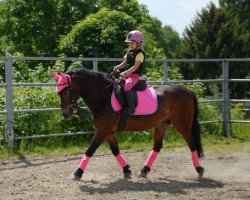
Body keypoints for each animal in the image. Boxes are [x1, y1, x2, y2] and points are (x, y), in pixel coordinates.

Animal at [51, 68, 204, 180]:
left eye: (65, 91)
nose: (65, 113)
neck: (103, 97)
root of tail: (187, 90)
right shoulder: (108, 132)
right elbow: (115, 151)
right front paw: (126, 170)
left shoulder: (102, 131)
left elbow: (90, 150)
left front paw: (77, 173)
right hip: (162, 125)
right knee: (157, 147)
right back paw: (144, 170)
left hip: (182, 124)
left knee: (192, 143)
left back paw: (199, 170)